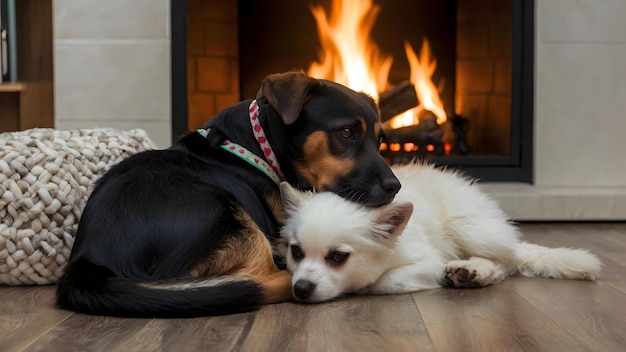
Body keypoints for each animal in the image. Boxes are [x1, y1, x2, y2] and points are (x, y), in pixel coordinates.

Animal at [54, 71, 400, 320]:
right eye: (346, 133)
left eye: (381, 140)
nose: (395, 186)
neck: (256, 146)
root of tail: (89, 262)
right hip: (221, 211)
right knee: (260, 279)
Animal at [278, 162, 600, 302]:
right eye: (296, 252)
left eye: (338, 258)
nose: (301, 289)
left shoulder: (429, 262)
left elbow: (381, 281)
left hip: (468, 225)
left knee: (507, 262)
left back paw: (471, 271)